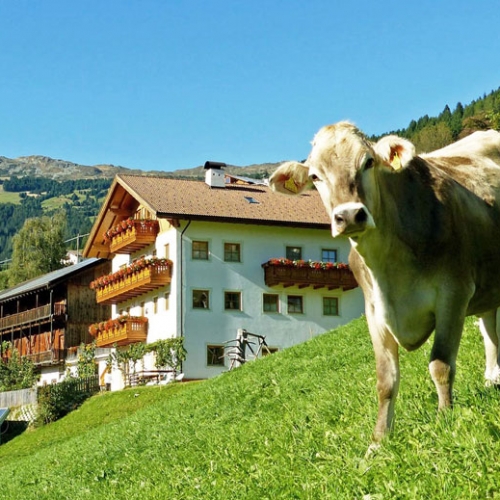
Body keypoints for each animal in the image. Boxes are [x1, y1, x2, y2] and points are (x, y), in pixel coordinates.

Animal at [270, 123, 500, 444]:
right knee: (489, 326)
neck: (390, 266)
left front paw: (444, 419)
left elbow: (440, 365)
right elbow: (385, 380)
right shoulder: (374, 312)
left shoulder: (453, 294)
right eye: (315, 176)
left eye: (368, 162)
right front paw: (378, 441)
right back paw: (492, 379)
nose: (349, 215)